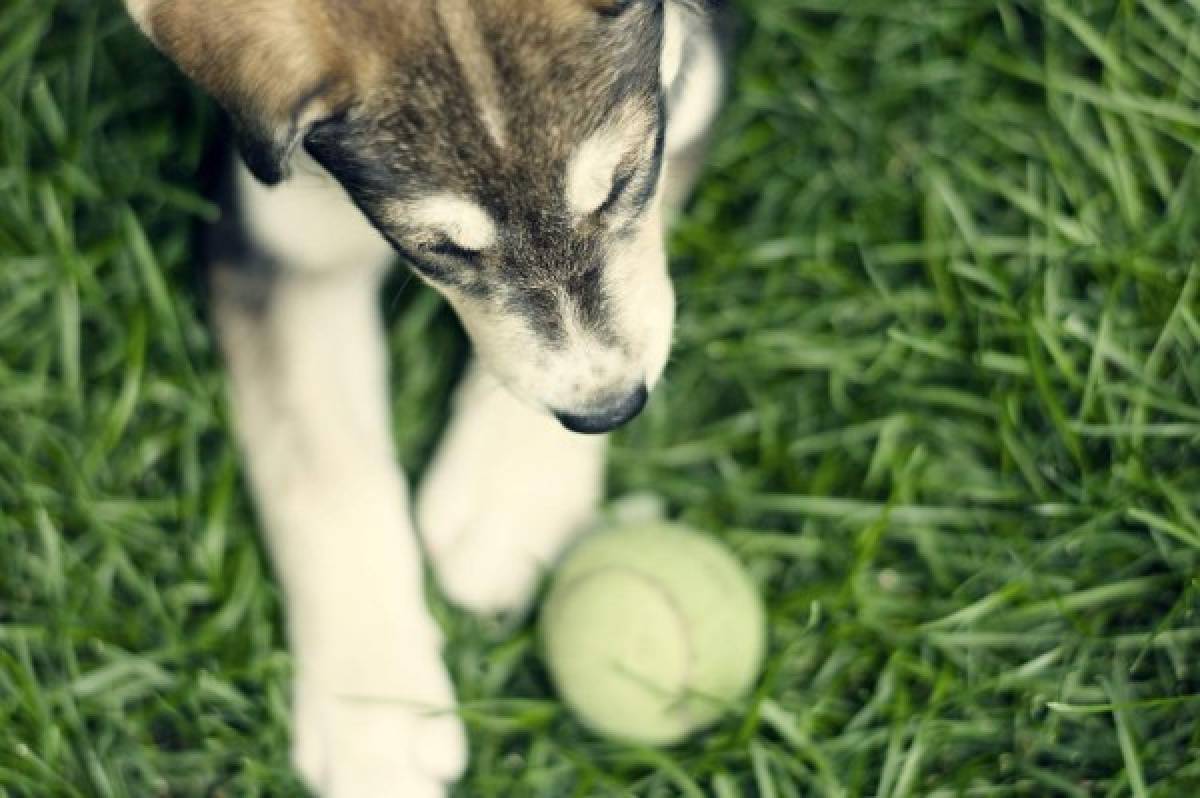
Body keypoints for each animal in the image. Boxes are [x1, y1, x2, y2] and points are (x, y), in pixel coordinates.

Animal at [119, 3, 720, 792]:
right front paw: (375, 720)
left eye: (622, 181)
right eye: (440, 248)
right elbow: (325, 475)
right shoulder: (283, 240)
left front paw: (512, 500)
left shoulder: (690, 82)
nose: (610, 412)